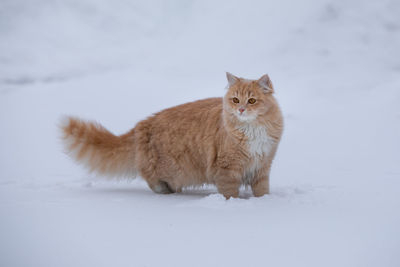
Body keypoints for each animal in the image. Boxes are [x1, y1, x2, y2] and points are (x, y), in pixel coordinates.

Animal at [61, 73, 282, 199]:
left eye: (252, 100)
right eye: (235, 100)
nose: (241, 109)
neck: (252, 130)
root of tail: (142, 125)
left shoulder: (263, 166)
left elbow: (262, 190)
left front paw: (263, 203)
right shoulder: (227, 168)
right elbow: (230, 193)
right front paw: (234, 204)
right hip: (172, 168)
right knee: (149, 177)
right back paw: (164, 191)